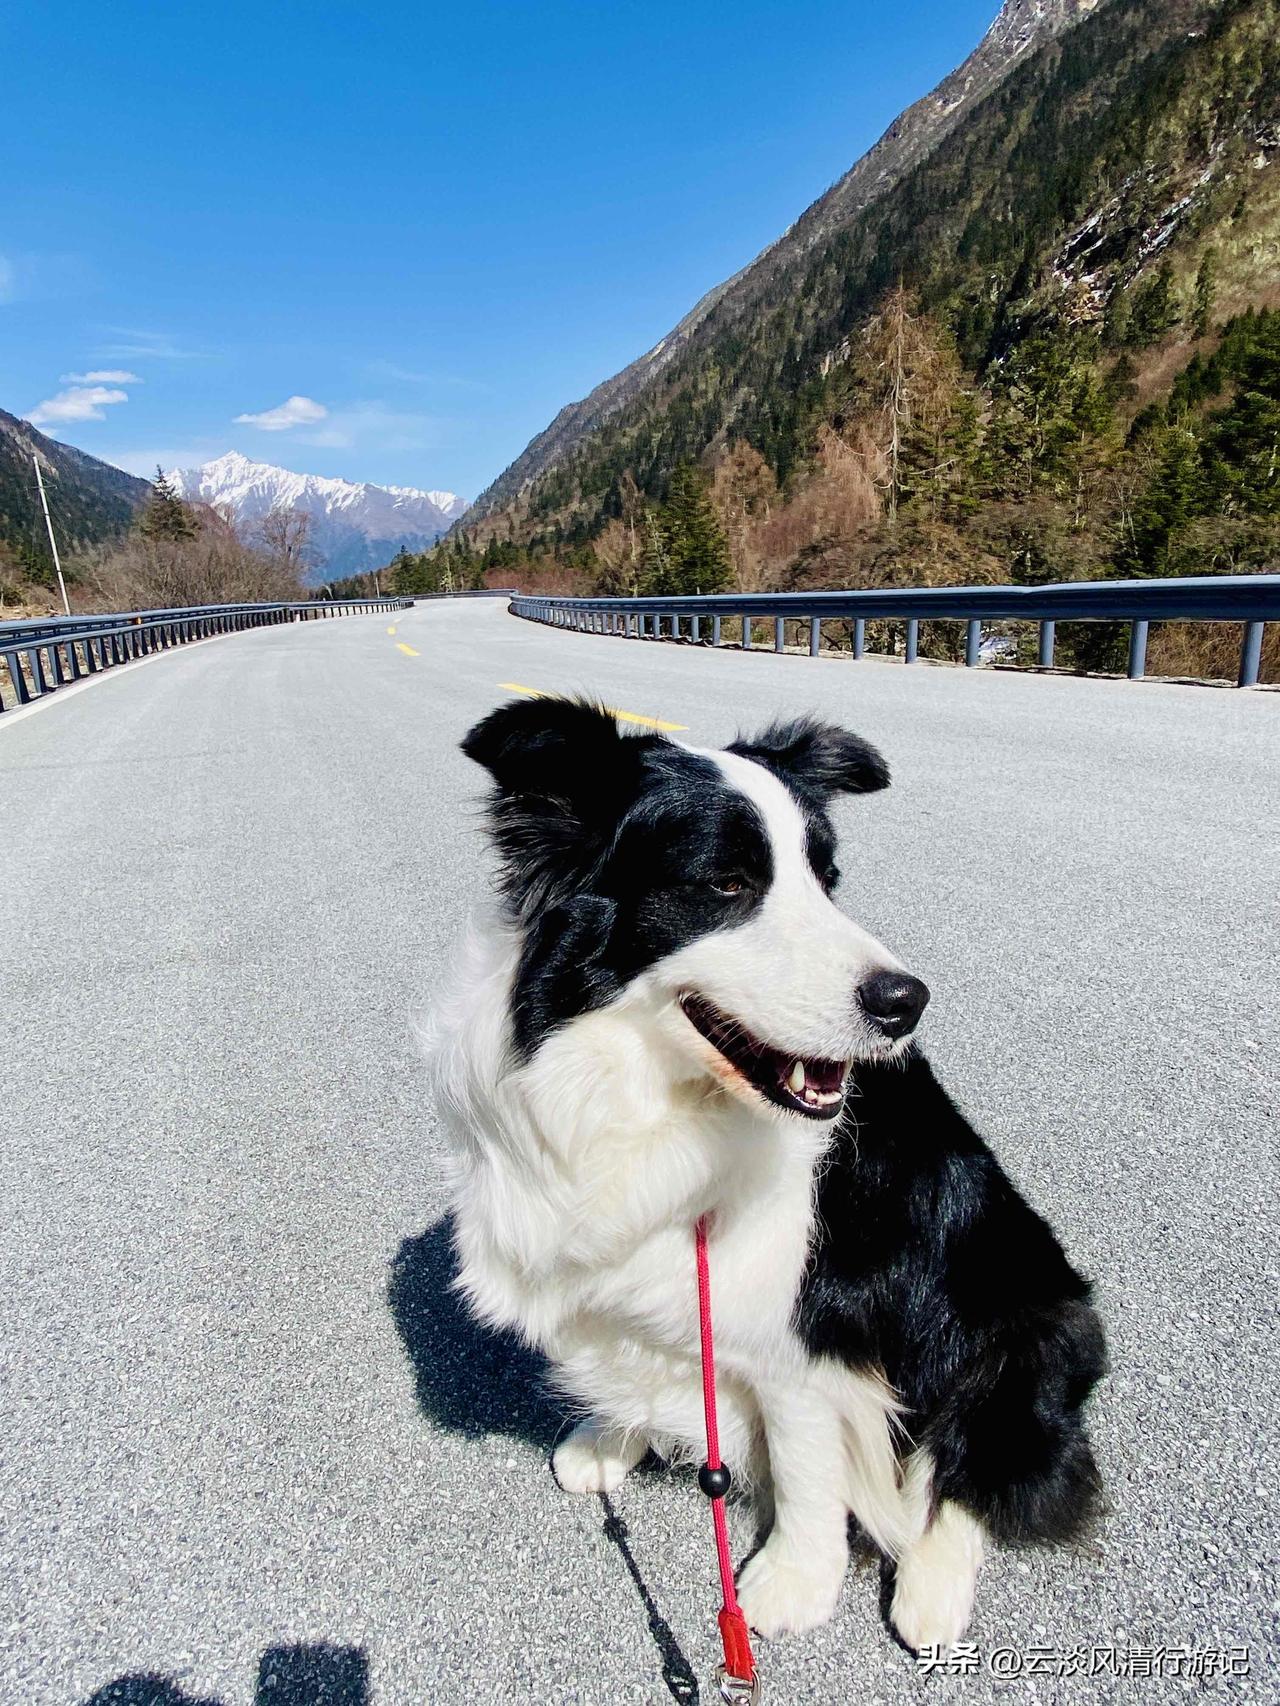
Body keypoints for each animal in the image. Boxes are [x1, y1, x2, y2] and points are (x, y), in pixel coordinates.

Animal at [426, 696, 1106, 1653]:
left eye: (829, 879)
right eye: (726, 884)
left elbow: (806, 1454)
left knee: (982, 1467)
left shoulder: (814, 1317)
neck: (659, 1100)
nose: (906, 1002)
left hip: (1023, 1324)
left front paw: (792, 1584)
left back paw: (931, 1593)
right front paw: (611, 1437)